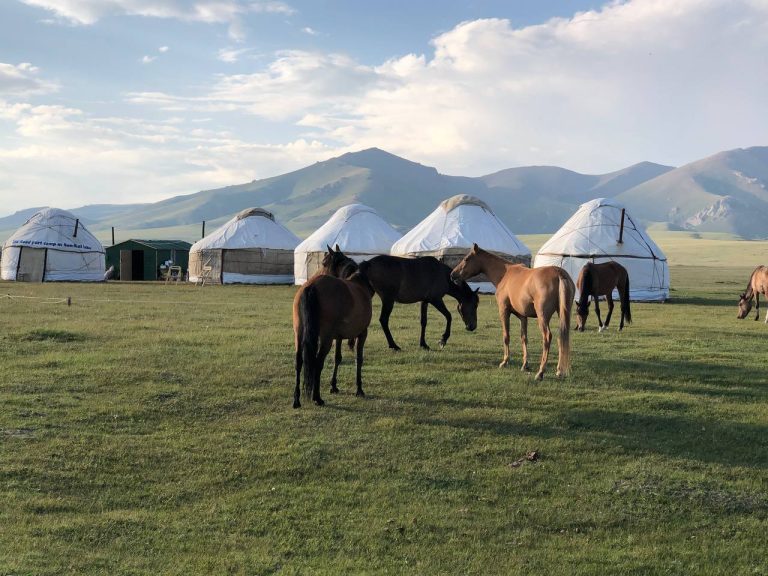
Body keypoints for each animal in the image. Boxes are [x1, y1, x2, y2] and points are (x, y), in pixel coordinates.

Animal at [292, 251, 374, 408]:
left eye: (324, 262)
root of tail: (312, 286)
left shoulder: (338, 337)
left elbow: (337, 358)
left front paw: (334, 386)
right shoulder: (363, 333)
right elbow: (358, 359)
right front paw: (359, 389)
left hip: (299, 334)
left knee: (299, 362)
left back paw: (296, 400)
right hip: (325, 339)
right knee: (317, 363)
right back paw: (317, 398)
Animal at [323, 245, 479, 350]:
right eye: (474, 305)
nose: (472, 327)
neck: (442, 274)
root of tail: (368, 263)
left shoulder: (425, 301)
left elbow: (423, 322)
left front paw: (423, 344)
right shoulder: (436, 300)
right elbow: (449, 316)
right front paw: (443, 339)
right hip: (388, 299)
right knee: (383, 320)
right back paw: (393, 345)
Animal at [450, 244, 574, 381]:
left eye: (466, 259)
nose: (452, 274)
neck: (505, 274)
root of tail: (559, 273)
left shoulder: (504, 311)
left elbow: (506, 336)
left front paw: (505, 362)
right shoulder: (523, 317)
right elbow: (524, 338)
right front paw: (525, 365)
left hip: (543, 317)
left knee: (547, 337)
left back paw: (540, 372)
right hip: (563, 314)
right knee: (561, 337)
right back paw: (559, 370)